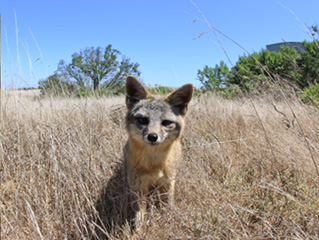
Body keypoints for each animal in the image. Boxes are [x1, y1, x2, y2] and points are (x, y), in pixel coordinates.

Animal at [123, 75, 192, 229]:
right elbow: (139, 215)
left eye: (166, 123)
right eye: (142, 120)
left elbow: (168, 206)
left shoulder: (168, 183)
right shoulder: (138, 187)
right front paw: (137, 230)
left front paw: (170, 219)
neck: (153, 164)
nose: (152, 137)